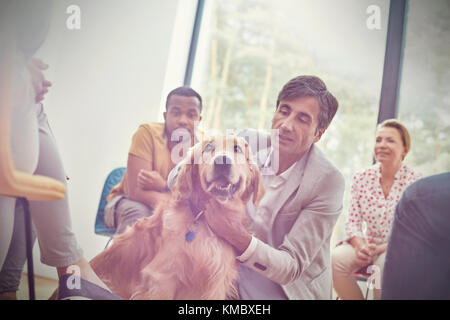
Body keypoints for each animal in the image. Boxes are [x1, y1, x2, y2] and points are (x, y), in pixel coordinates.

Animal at [91, 134, 266, 298]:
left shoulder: (216, 286)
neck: (203, 219)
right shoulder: (162, 278)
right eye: (208, 147)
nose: (222, 161)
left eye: (237, 149)